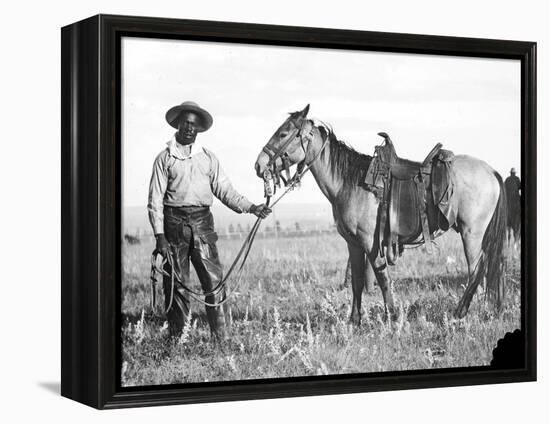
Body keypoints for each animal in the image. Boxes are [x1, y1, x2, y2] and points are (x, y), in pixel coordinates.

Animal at [256, 105, 508, 322]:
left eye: (283, 133)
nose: (259, 165)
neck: (349, 182)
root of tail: (492, 172)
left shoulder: (370, 241)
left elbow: (382, 277)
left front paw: (392, 317)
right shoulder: (353, 243)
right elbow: (357, 280)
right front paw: (355, 321)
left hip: (471, 233)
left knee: (476, 269)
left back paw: (460, 312)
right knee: (491, 265)